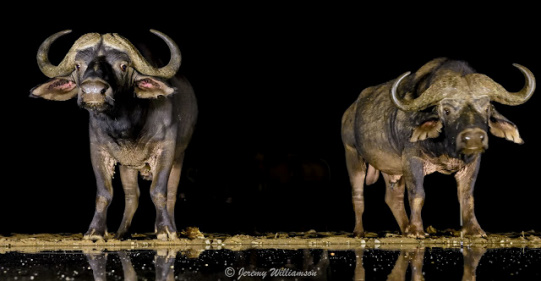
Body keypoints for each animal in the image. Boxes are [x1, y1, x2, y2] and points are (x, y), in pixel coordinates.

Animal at [342, 57, 532, 236]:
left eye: (486, 108)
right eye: (446, 110)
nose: (474, 139)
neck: (445, 148)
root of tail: (350, 111)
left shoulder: (473, 162)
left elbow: (467, 196)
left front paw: (474, 230)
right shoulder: (412, 160)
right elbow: (418, 195)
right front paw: (416, 231)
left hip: (393, 168)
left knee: (393, 197)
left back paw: (404, 228)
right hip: (352, 153)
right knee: (357, 196)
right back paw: (359, 232)